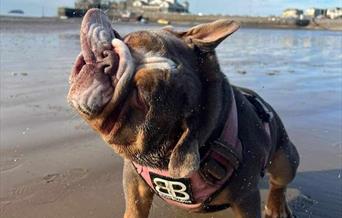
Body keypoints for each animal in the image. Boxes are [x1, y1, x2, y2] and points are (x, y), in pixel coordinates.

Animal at [67, 8, 300, 218]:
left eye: (140, 98)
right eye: (132, 39)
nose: (109, 60)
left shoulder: (246, 197)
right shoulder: (134, 180)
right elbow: (135, 207)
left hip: (286, 159)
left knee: (279, 181)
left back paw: (277, 207)